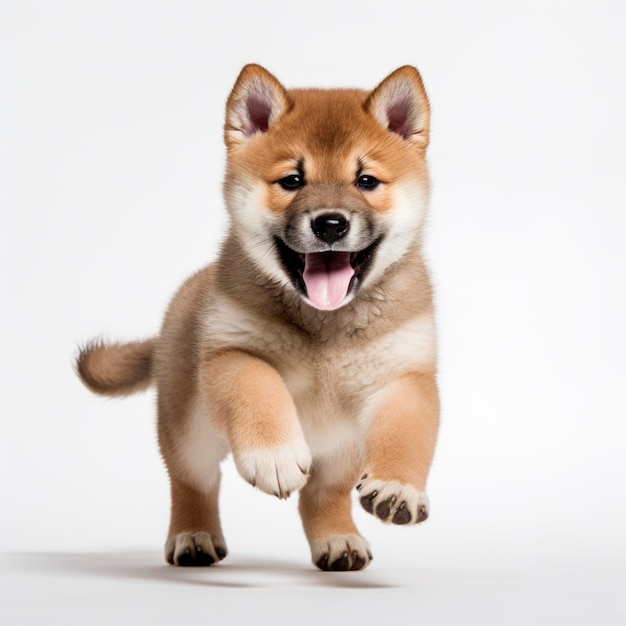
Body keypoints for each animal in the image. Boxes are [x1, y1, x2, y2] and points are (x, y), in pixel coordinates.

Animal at [77, 64, 438, 572]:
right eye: (292, 180)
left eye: (366, 181)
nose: (331, 224)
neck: (326, 325)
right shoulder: (232, 354)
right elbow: (259, 389)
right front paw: (275, 455)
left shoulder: (404, 377)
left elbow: (407, 434)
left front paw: (397, 486)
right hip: (188, 430)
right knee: (191, 484)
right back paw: (193, 536)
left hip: (342, 449)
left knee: (323, 495)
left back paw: (337, 539)